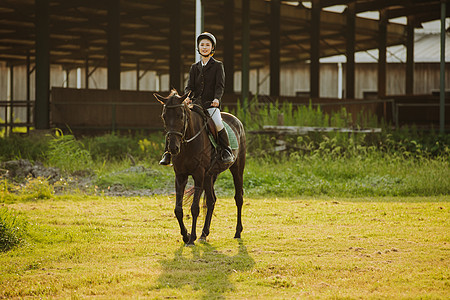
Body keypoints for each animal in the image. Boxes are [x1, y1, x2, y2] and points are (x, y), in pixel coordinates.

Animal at [155, 90, 246, 245]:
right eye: (164, 116)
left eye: (180, 115)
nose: (173, 148)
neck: (187, 143)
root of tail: (236, 121)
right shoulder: (180, 176)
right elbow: (178, 209)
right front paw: (185, 235)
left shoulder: (198, 175)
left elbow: (194, 208)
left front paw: (191, 238)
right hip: (209, 176)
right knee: (211, 201)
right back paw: (204, 234)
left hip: (237, 169)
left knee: (238, 198)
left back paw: (237, 232)